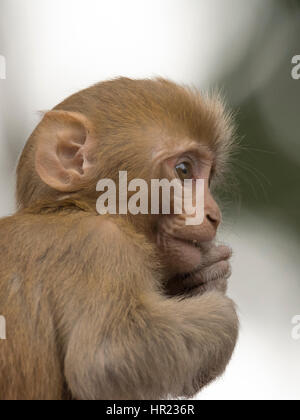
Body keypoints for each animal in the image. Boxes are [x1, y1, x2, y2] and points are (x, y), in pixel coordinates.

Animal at [0, 78, 239, 400]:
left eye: (209, 178)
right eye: (184, 170)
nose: (214, 215)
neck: (76, 207)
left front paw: (206, 277)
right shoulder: (101, 244)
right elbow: (108, 358)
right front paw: (221, 307)